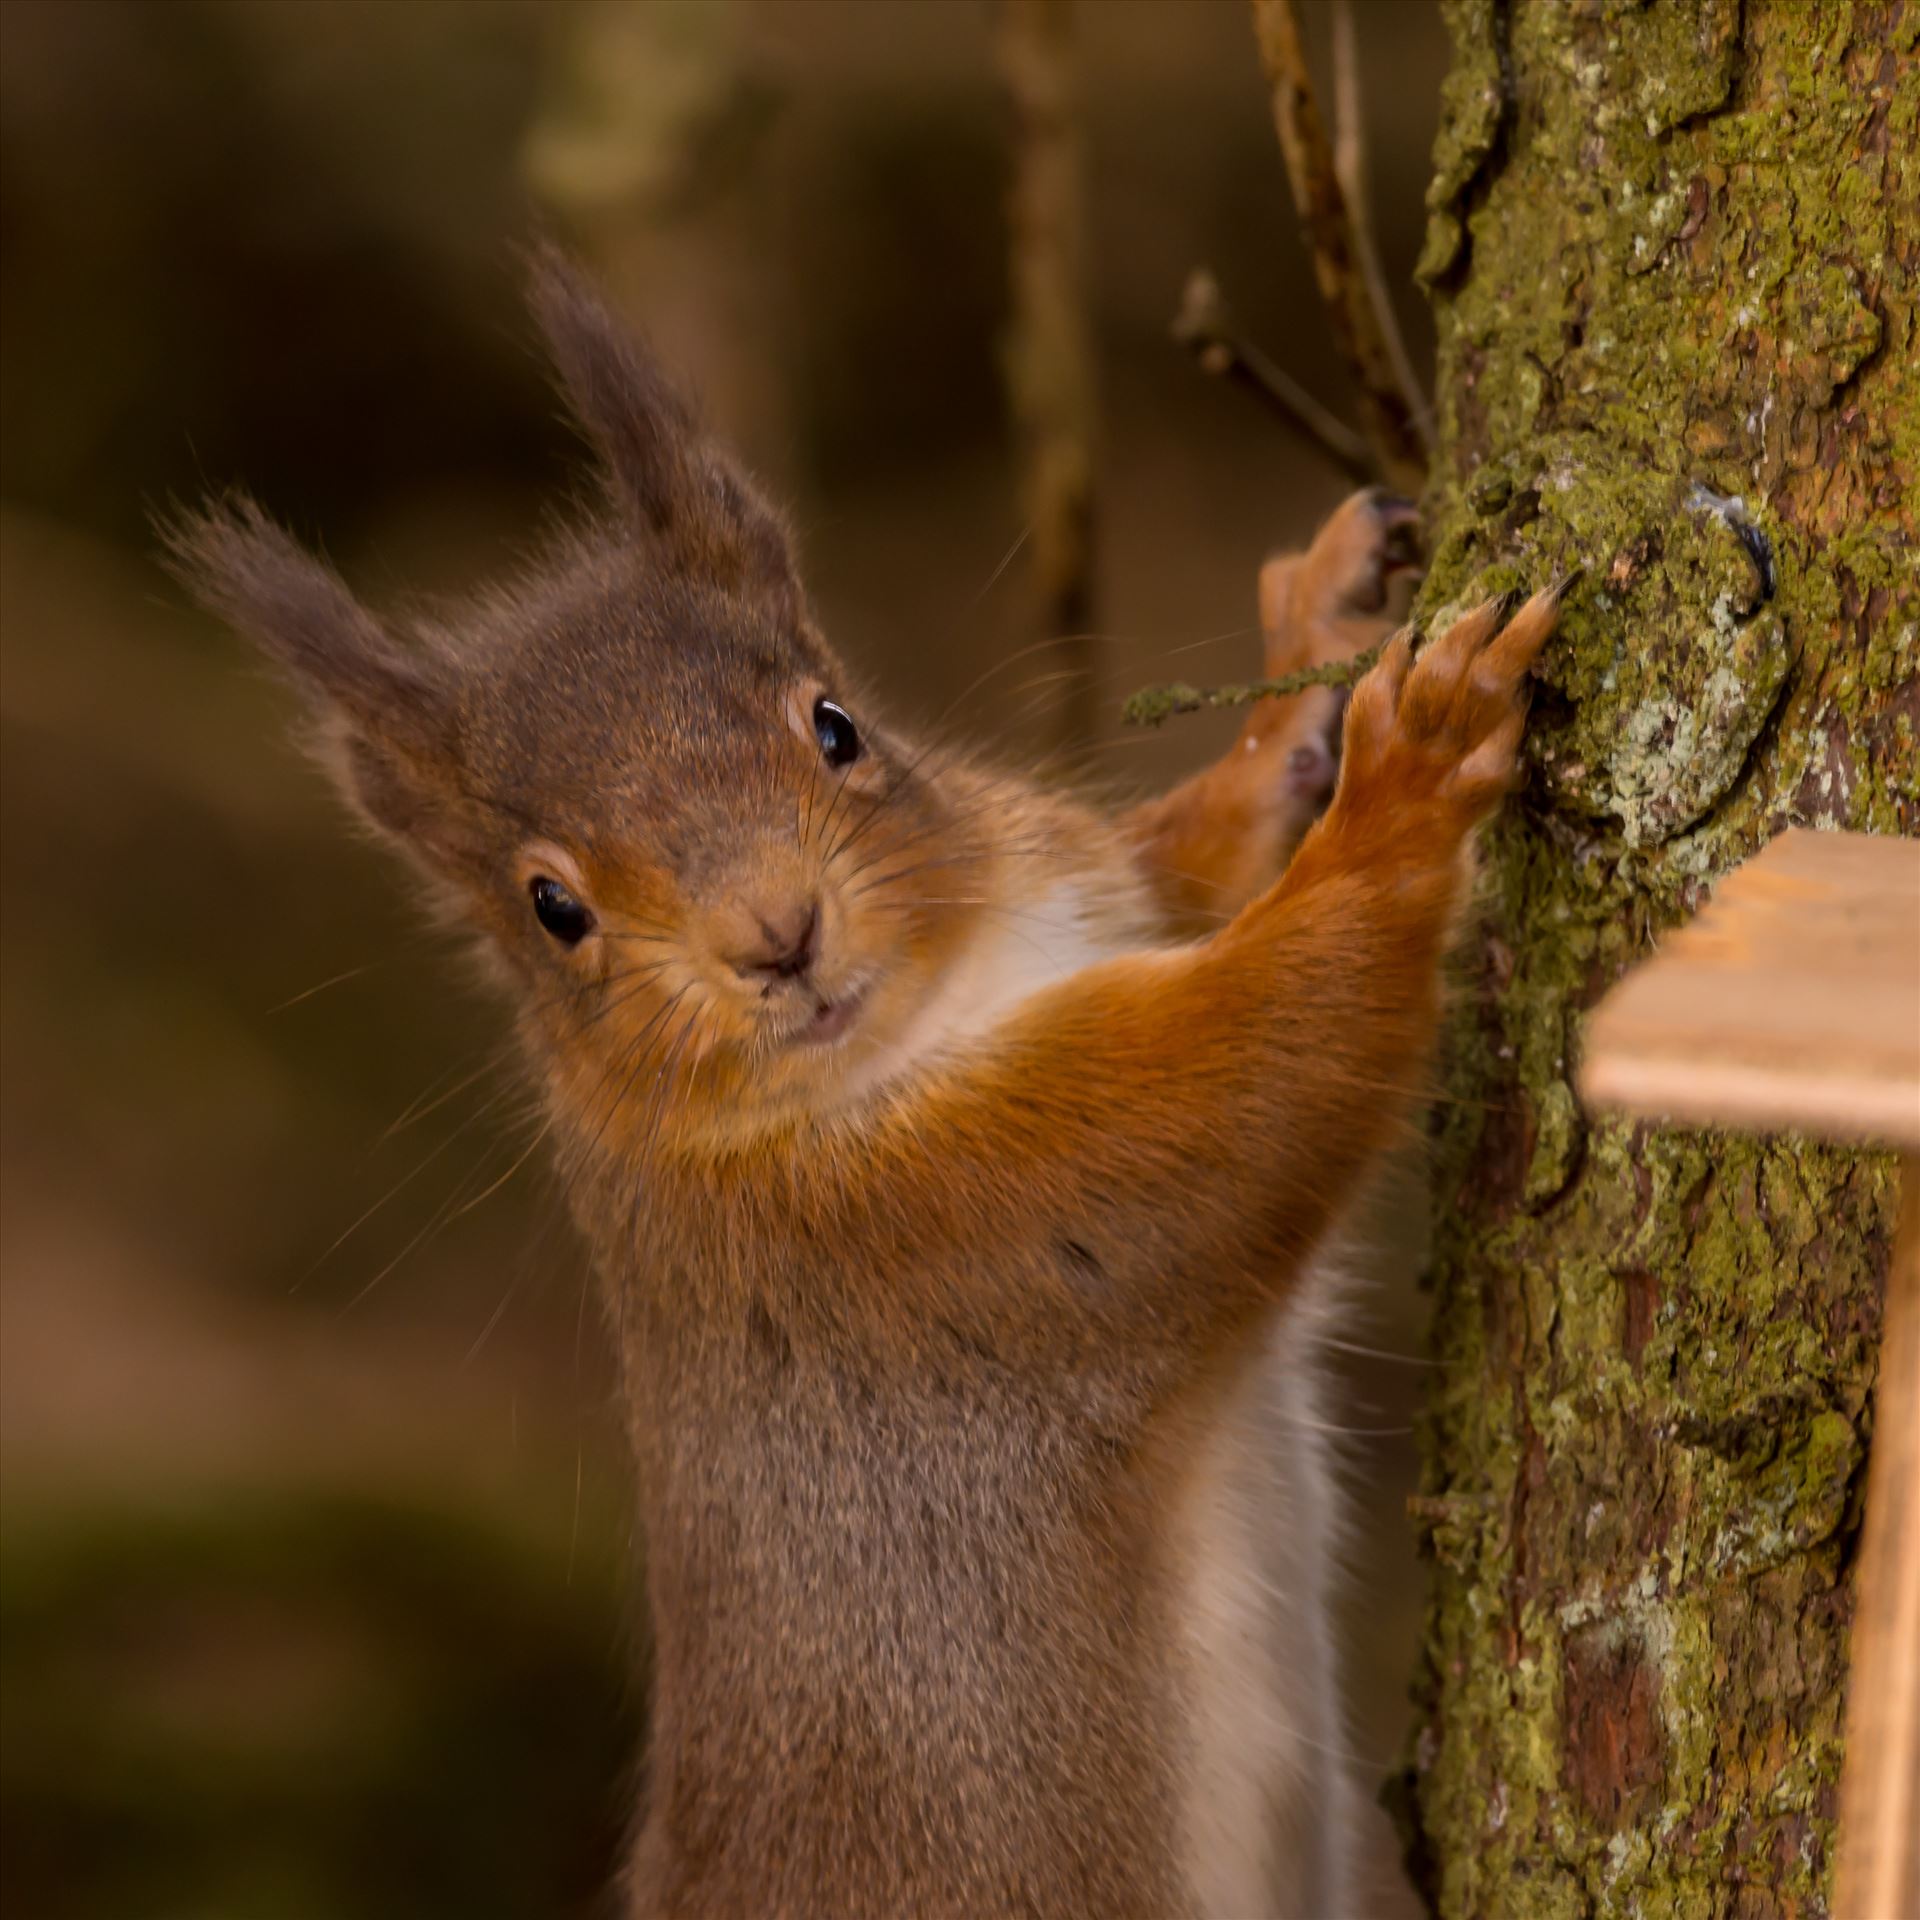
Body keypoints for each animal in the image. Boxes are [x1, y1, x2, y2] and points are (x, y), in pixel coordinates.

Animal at [168, 259, 1559, 1920]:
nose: (778, 935)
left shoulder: (1095, 901)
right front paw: (1408, 774)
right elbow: (1254, 1071)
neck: (934, 1002)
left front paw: (1307, 668)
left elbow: (1189, 865)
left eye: (836, 725)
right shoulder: (946, 1227)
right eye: (551, 908)